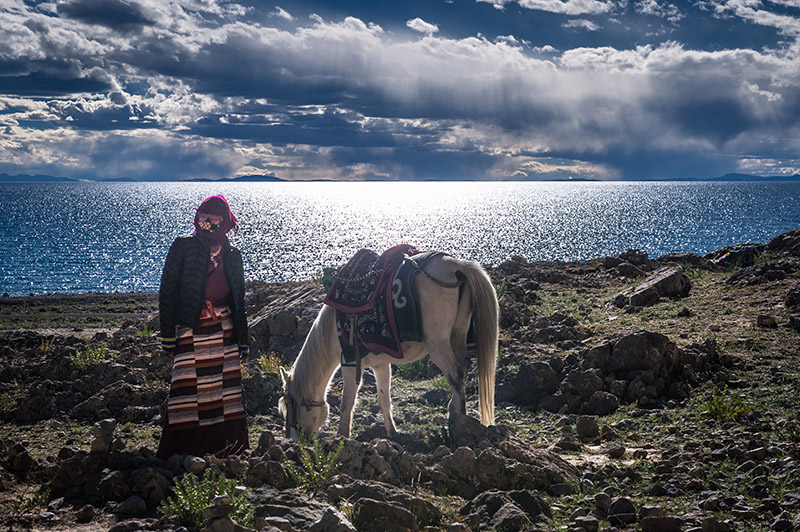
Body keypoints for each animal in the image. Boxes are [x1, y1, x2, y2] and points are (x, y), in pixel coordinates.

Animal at [278, 254, 496, 440]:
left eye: (290, 409)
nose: (296, 441)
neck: (332, 328)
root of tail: (456, 266)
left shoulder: (349, 362)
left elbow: (347, 402)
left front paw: (342, 436)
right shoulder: (381, 365)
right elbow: (384, 399)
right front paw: (392, 432)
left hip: (439, 344)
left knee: (456, 374)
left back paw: (456, 423)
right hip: (457, 336)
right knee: (463, 369)